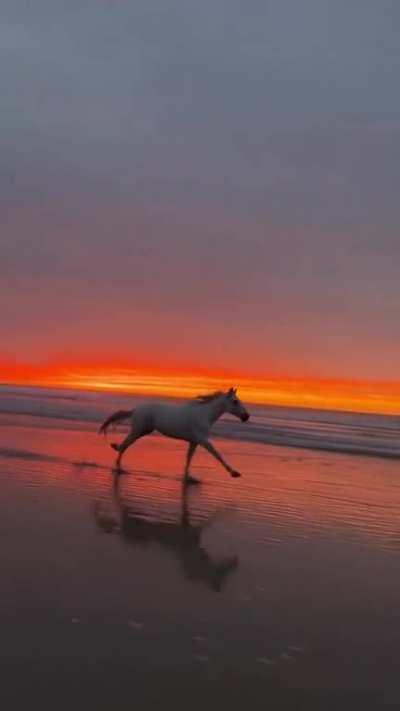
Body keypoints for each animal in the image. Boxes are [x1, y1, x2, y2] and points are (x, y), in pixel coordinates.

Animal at [99, 387, 250, 483]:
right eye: (235, 401)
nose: (246, 416)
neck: (204, 414)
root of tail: (136, 410)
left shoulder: (194, 442)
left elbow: (189, 459)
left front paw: (188, 478)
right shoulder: (204, 440)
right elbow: (217, 454)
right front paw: (234, 473)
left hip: (143, 431)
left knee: (126, 444)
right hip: (139, 431)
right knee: (125, 444)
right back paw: (118, 466)